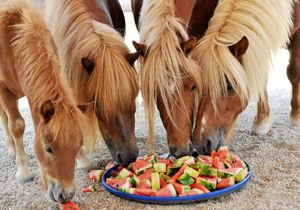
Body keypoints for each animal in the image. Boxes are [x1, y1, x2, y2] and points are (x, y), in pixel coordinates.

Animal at [0, 0, 95, 203]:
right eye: (48, 149)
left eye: (77, 147)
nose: (65, 195)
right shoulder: (4, 92)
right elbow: (16, 125)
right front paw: (23, 171)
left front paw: (83, 159)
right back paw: (11, 148)